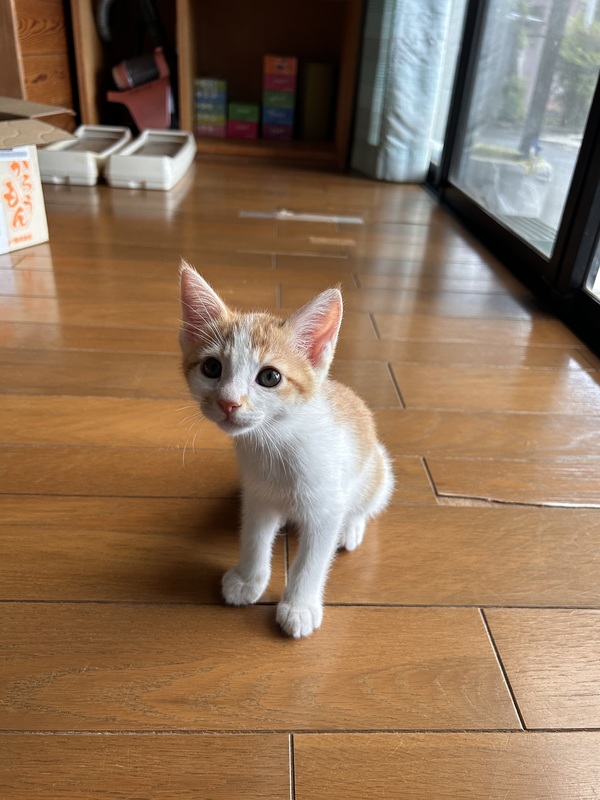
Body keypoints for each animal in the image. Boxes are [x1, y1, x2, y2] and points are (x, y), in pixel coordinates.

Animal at [179, 261, 394, 638]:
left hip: (379, 470)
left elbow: (313, 560)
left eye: (270, 377)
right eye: (211, 368)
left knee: (365, 504)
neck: (275, 442)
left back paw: (351, 528)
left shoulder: (326, 507)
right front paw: (248, 579)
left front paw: (300, 606)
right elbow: (254, 535)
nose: (228, 402)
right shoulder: (258, 494)